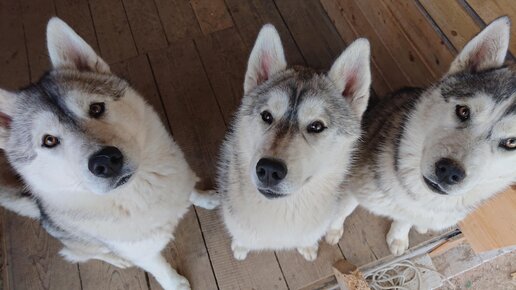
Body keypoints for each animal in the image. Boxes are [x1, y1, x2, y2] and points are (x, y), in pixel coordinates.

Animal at [0, 17, 210, 288]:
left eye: (96, 108)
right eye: (49, 140)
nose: (106, 162)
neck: (138, 191)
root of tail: (40, 212)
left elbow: (191, 190)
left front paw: (208, 198)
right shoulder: (144, 254)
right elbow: (161, 269)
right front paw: (176, 284)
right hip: (80, 245)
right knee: (83, 254)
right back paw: (115, 259)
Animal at [332, 17, 512, 255]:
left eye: (511, 142)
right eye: (464, 111)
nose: (449, 172)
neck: (417, 194)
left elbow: (406, 220)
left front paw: (398, 237)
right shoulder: (355, 184)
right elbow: (342, 209)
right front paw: (331, 230)